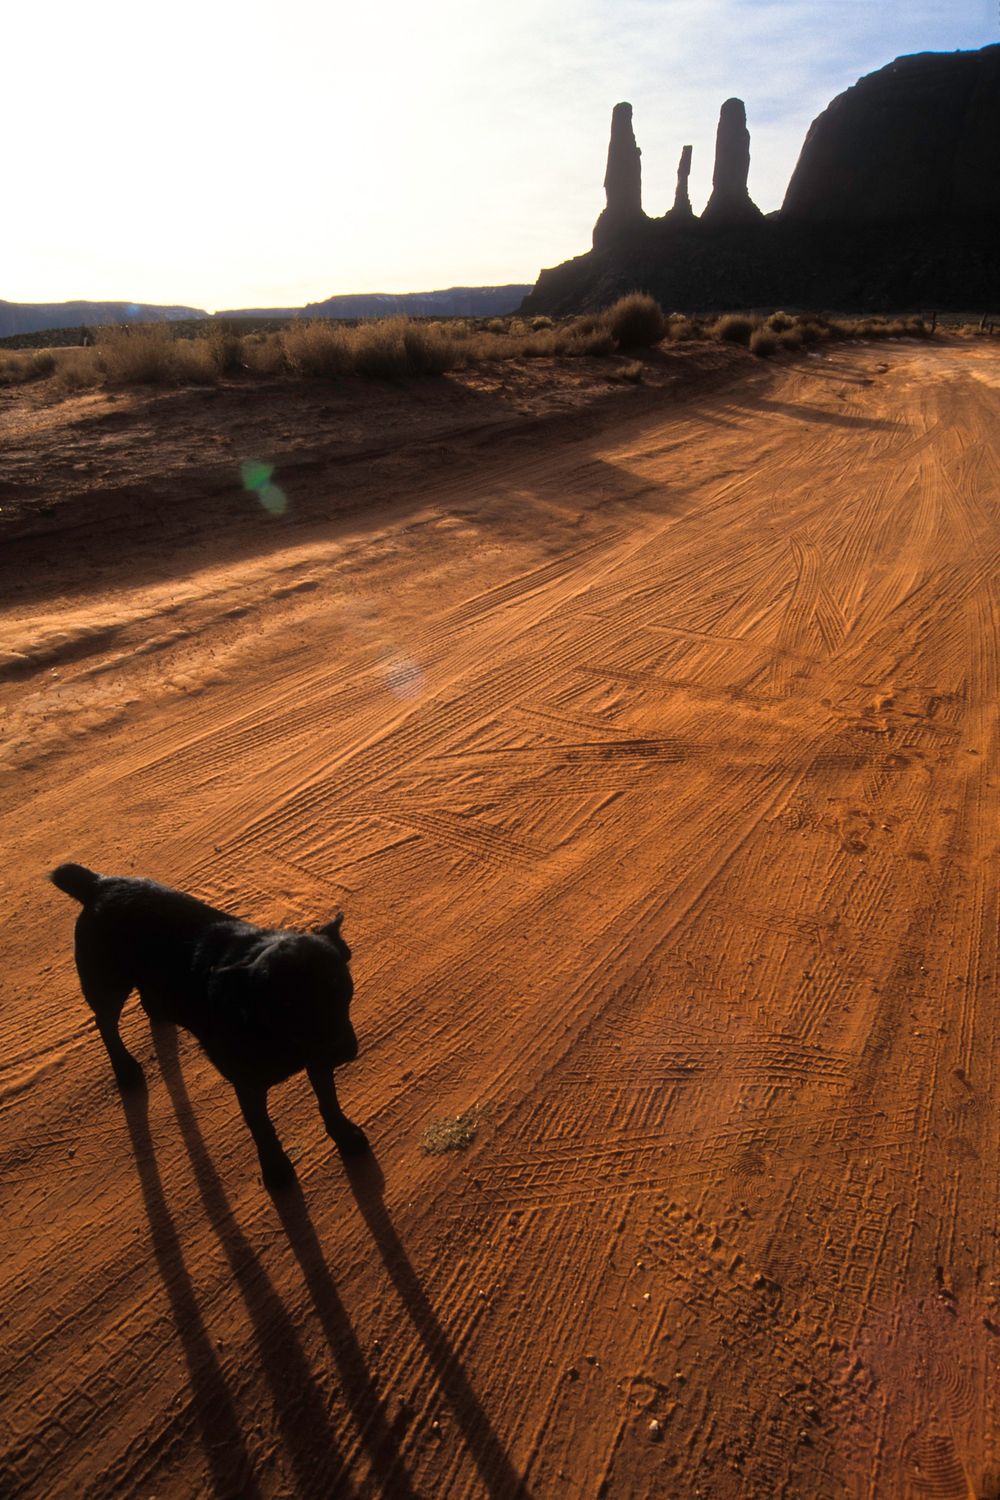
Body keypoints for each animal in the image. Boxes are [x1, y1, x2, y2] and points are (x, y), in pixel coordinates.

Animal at [49, 864, 367, 1188]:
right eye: (287, 1004)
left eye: (338, 983)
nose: (342, 1050)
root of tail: (99, 884)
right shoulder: (249, 1085)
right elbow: (262, 1128)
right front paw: (276, 1169)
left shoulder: (318, 1062)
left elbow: (329, 1101)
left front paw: (344, 1135)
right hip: (107, 985)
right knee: (105, 1022)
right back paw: (124, 1067)